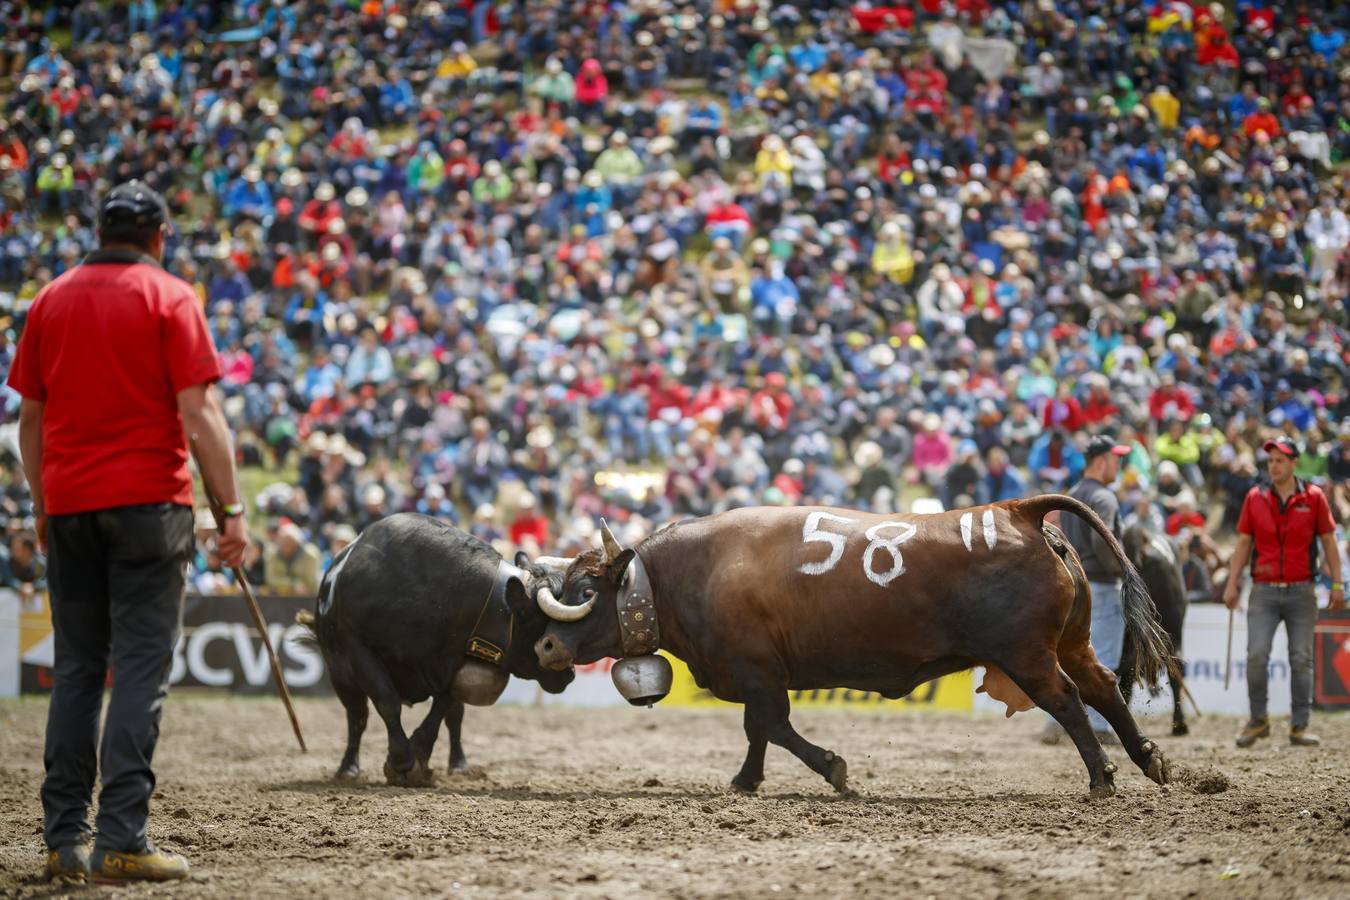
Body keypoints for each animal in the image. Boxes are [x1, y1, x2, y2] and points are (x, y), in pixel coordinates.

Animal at [297, 514, 575, 785]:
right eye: (541, 621)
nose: (571, 672)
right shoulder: (359, 649)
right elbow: (387, 703)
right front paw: (400, 760)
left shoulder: (458, 662)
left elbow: (443, 706)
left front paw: (417, 757)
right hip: (340, 675)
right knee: (357, 717)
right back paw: (348, 768)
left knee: (455, 719)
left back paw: (459, 766)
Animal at [531, 496, 1174, 798]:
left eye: (585, 590)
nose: (543, 645)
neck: (690, 573)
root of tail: (1018, 512)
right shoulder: (756, 676)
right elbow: (760, 731)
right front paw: (747, 780)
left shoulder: (757, 671)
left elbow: (772, 726)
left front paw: (833, 770)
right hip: (1071, 644)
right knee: (1102, 687)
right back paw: (1149, 759)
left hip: (1028, 657)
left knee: (1066, 701)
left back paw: (1102, 776)